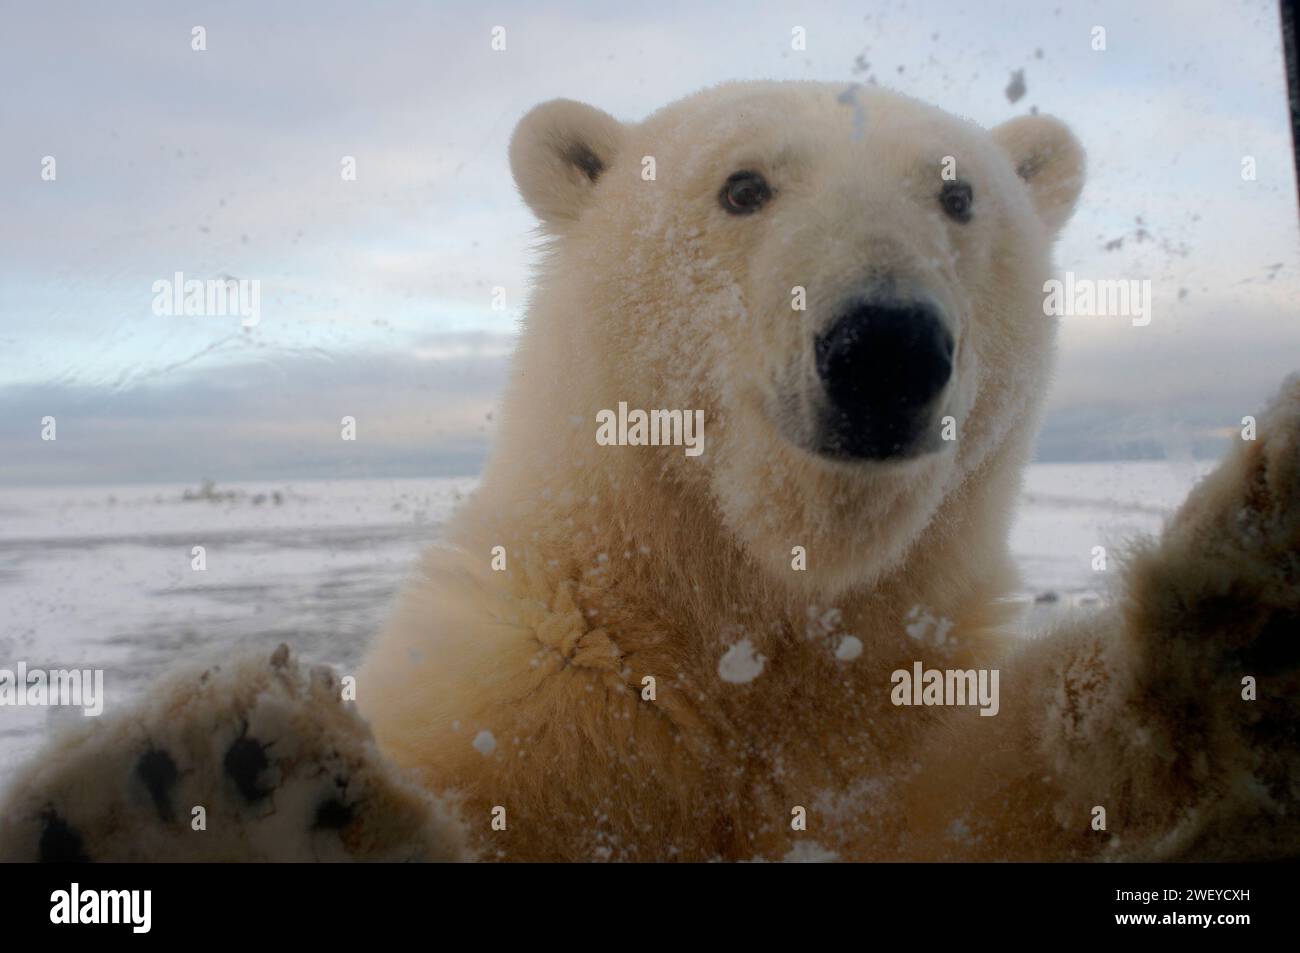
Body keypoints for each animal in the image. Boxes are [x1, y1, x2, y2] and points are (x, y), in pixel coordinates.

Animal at [2, 81, 1300, 863]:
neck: (747, 615)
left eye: (958, 192)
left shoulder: (902, 711)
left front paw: (1244, 618)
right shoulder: (530, 691)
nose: (885, 346)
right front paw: (209, 801)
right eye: (742, 185)